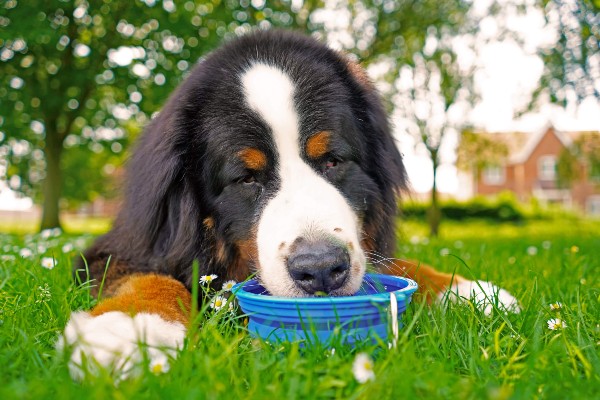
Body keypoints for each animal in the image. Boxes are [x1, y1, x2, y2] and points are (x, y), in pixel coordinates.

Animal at [61, 29, 520, 380]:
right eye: (247, 177)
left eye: (332, 160)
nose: (320, 269)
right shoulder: (119, 250)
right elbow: (150, 279)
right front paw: (129, 329)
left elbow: (397, 266)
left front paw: (465, 290)